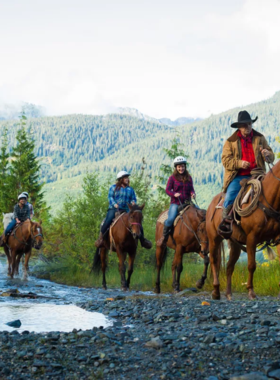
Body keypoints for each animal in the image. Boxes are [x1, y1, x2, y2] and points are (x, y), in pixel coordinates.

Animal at [207, 159, 280, 302]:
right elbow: (251, 265)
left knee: (229, 267)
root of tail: (212, 203)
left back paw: (228, 294)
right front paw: (251, 292)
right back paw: (216, 291)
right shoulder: (252, 238)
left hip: (235, 244)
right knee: (214, 261)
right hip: (214, 239)